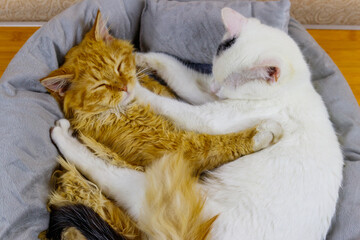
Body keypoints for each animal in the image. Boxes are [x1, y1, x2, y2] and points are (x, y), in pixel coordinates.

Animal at [52, 7, 344, 240]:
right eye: (215, 72)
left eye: (229, 83)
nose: (216, 88)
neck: (295, 88)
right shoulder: (204, 93)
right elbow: (179, 74)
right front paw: (144, 58)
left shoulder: (212, 116)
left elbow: (174, 106)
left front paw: (136, 89)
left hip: (158, 186)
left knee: (105, 174)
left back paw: (64, 136)